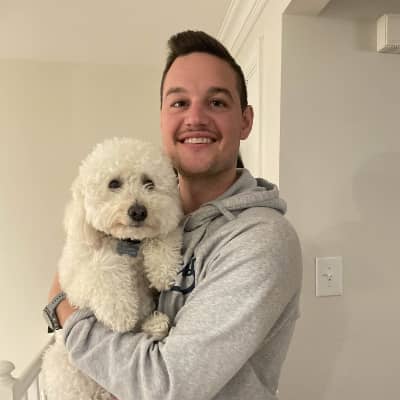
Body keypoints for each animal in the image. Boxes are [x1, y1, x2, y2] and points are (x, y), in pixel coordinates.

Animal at [42, 137, 183, 400]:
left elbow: (161, 236)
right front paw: (120, 312)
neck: (126, 243)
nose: (138, 211)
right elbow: (103, 267)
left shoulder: (161, 229)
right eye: (113, 184)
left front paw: (163, 269)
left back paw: (155, 324)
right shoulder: (75, 283)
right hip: (61, 365)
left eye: (149, 183)